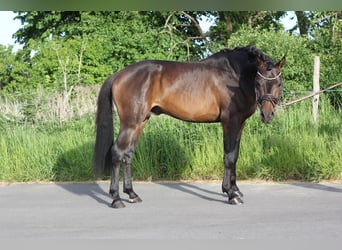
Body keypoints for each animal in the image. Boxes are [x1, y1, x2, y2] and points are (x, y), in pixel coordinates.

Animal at [93, 46, 286, 208]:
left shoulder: (240, 123)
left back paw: (132, 194)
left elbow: (235, 156)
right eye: (258, 83)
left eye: (279, 83)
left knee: (128, 154)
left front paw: (235, 190)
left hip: (141, 122)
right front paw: (231, 194)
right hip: (130, 123)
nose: (267, 115)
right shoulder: (230, 122)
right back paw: (116, 199)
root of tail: (119, 75)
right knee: (117, 152)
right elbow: (229, 157)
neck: (234, 75)